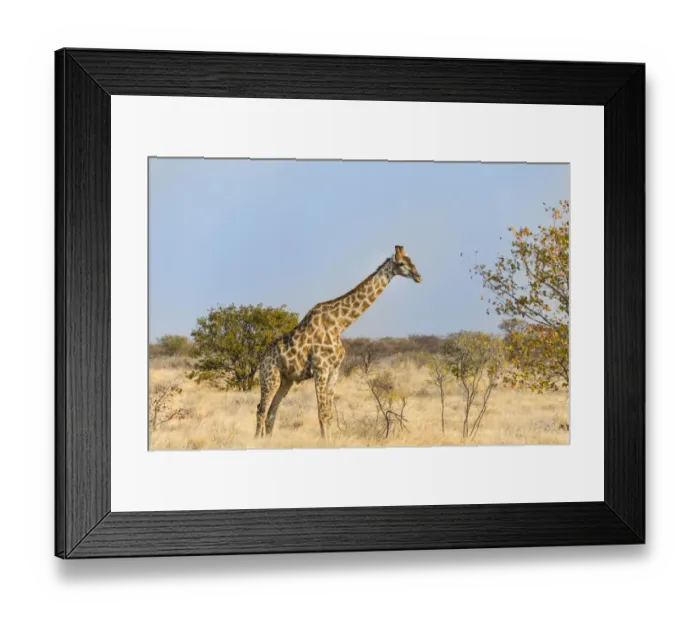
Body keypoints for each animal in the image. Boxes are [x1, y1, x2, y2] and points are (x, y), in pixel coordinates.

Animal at [255, 245, 422, 442]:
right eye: (402, 263)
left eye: (412, 260)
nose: (418, 276)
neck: (339, 324)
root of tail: (262, 358)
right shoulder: (320, 370)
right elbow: (322, 413)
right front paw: (324, 442)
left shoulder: (334, 371)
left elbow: (328, 414)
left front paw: (329, 441)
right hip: (270, 377)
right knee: (261, 410)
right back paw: (257, 441)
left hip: (285, 380)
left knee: (271, 412)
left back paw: (267, 441)